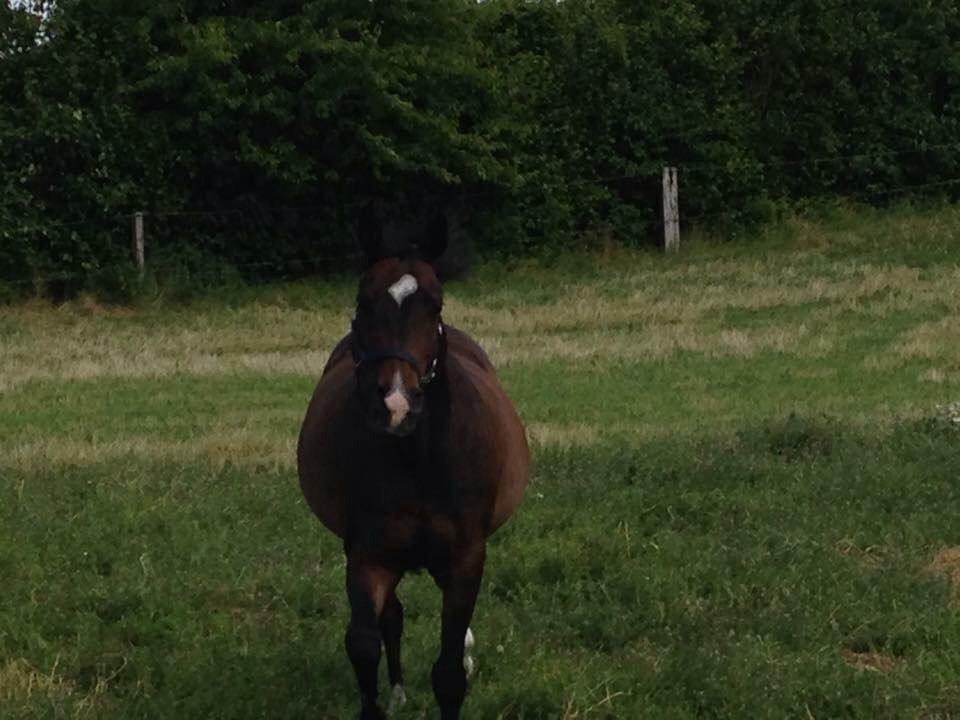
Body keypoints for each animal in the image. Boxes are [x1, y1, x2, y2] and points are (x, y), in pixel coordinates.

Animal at [296, 204, 528, 720]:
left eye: (435, 305)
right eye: (363, 301)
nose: (396, 405)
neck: (418, 461)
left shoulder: (465, 558)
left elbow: (449, 672)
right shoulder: (368, 553)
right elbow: (364, 642)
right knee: (392, 619)